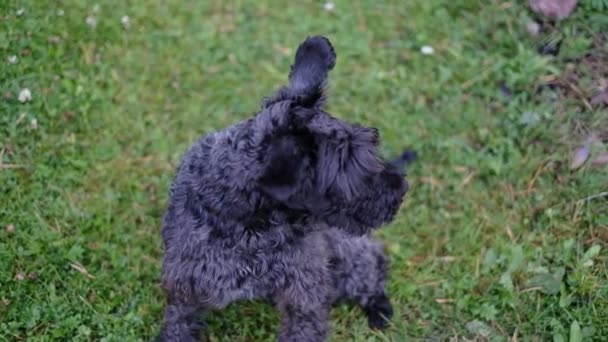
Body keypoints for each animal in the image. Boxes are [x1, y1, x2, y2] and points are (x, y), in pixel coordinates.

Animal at [158, 35, 414, 342]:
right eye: (353, 173)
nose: (402, 189)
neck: (248, 226)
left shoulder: (304, 289)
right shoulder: (186, 285)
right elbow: (179, 323)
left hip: (344, 256)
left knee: (373, 261)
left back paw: (380, 307)